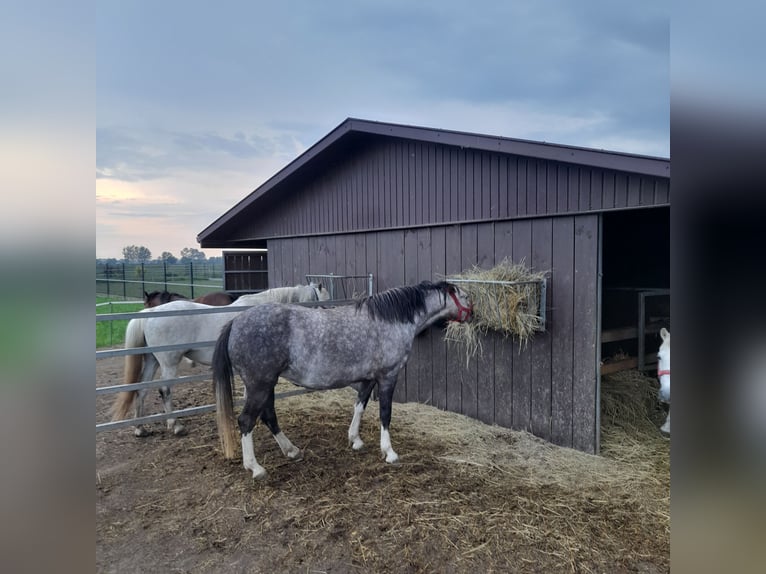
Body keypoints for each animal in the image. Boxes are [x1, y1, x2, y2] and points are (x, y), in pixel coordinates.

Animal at [112, 283, 330, 436]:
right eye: (324, 302)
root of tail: (150, 313)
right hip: (168, 363)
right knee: (164, 390)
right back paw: (175, 426)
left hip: (152, 361)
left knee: (141, 389)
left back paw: (140, 428)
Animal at [212, 280, 473, 480]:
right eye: (466, 296)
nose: (474, 314)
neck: (391, 320)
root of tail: (235, 322)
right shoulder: (388, 376)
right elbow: (385, 414)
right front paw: (389, 452)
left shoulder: (368, 379)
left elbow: (360, 406)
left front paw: (355, 440)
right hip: (260, 385)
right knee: (246, 421)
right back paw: (255, 468)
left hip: (265, 385)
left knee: (267, 416)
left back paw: (292, 451)